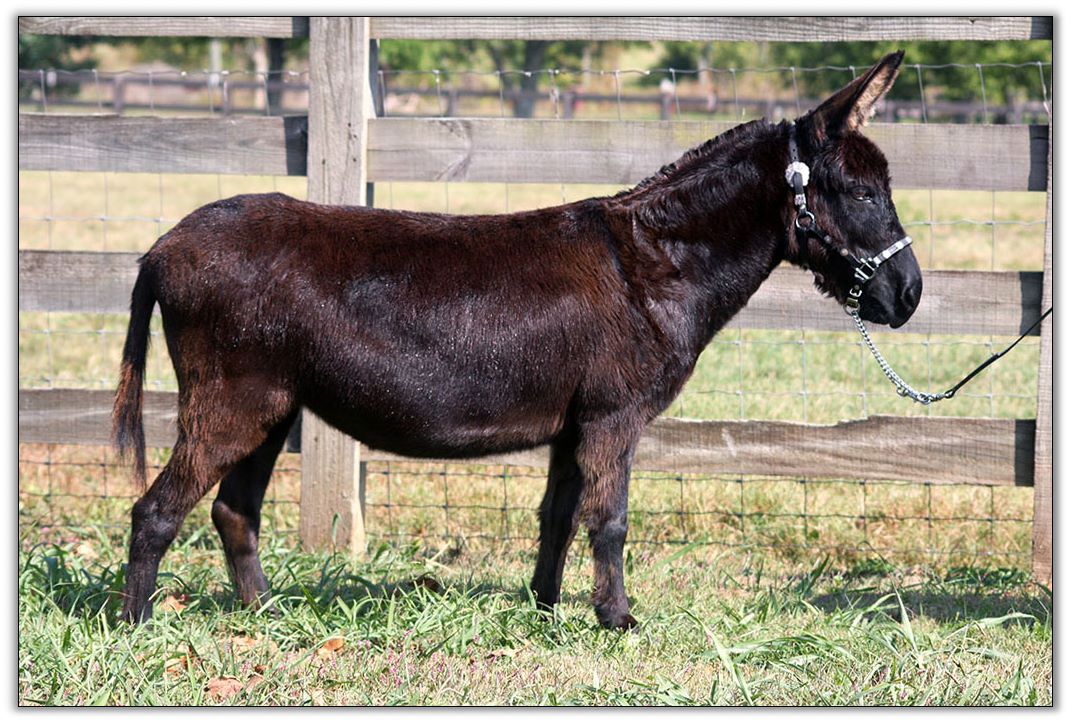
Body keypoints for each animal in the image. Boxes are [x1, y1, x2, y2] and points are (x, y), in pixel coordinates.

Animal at [113, 51, 920, 627]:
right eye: (864, 193)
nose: (910, 296)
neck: (654, 263)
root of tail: (163, 246)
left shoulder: (575, 422)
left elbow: (558, 516)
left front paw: (546, 609)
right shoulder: (613, 416)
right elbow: (610, 520)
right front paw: (617, 621)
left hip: (272, 408)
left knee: (233, 511)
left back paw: (265, 616)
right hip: (233, 403)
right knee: (156, 511)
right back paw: (137, 626)